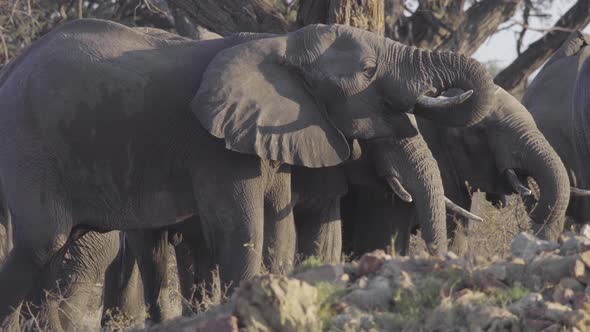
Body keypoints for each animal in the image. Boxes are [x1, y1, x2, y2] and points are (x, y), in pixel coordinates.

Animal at [0, 18, 500, 326]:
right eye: (368, 70)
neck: (279, 44)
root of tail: (13, 67)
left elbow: (279, 231)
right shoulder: (216, 146)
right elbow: (243, 230)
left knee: (63, 251)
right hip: (28, 145)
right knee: (43, 242)